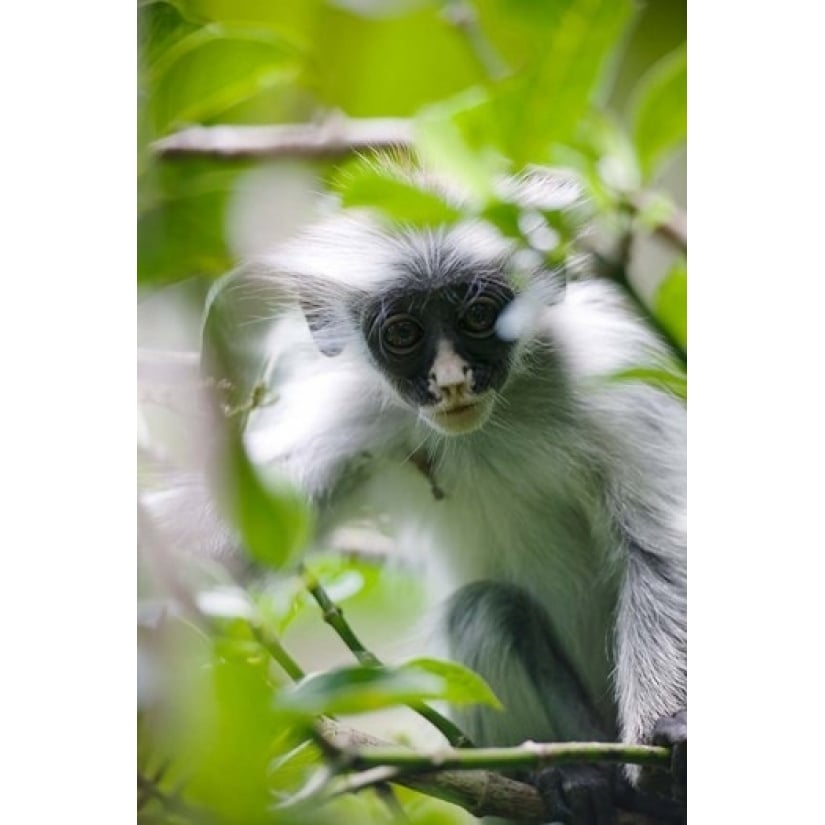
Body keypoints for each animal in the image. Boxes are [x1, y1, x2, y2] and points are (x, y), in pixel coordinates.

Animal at [180, 167, 688, 824]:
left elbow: (658, 552)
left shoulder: (612, 389)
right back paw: (574, 776)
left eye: (479, 317)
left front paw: (663, 738)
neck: (486, 431)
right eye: (403, 333)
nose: (450, 381)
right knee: (485, 609)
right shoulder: (354, 413)